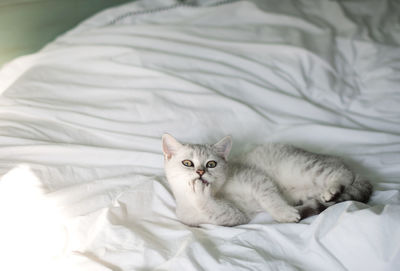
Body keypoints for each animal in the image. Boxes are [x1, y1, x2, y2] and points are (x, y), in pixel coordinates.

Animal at [161, 134, 374, 227]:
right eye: (187, 163)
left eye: (211, 164)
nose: (200, 172)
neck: (218, 193)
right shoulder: (234, 216)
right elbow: (215, 210)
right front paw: (199, 193)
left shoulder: (255, 178)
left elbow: (269, 197)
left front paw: (284, 214)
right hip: (306, 189)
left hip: (301, 166)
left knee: (344, 174)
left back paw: (332, 189)